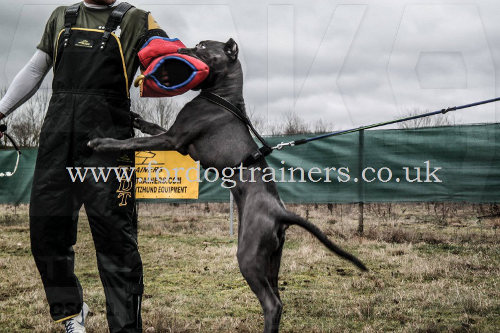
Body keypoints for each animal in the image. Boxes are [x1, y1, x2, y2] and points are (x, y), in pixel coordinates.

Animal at [89, 38, 368, 332]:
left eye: (202, 46)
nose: (182, 49)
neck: (222, 97)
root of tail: (281, 212)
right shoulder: (174, 137)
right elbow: (152, 126)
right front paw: (135, 118)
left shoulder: (173, 139)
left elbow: (134, 142)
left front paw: (102, 143)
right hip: (272, 259)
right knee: (278, 297)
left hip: (249, 256)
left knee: (272, 303)